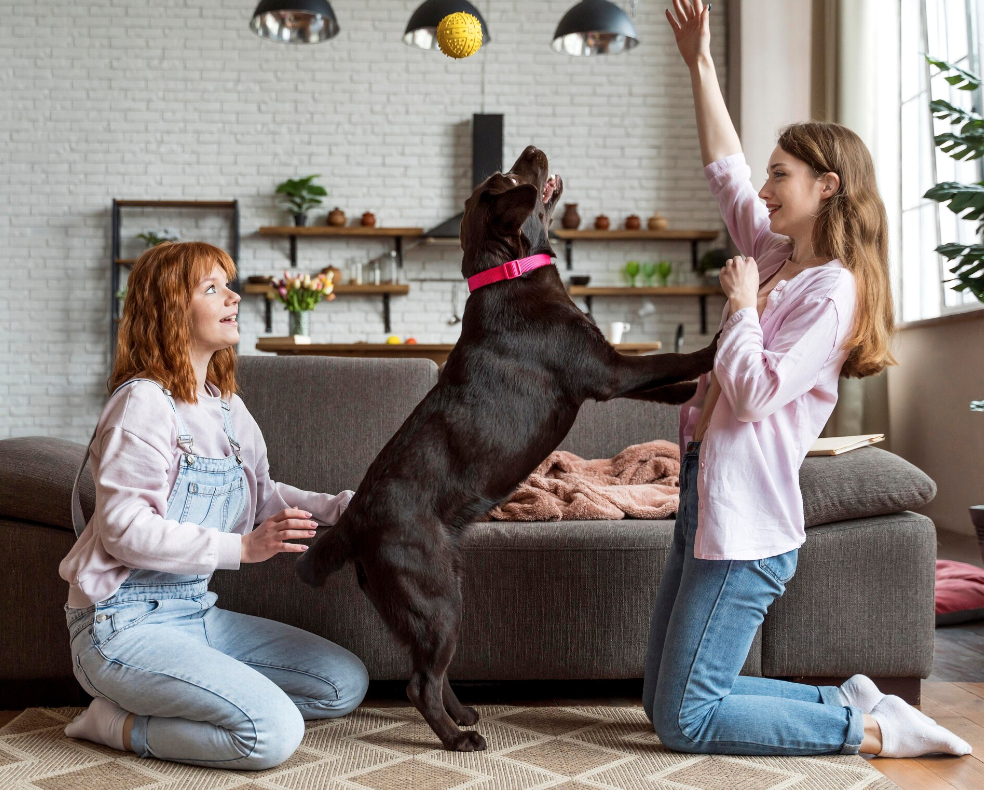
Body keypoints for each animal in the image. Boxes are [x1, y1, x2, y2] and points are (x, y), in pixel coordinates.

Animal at [296, 145, 718, 751]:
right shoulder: (607, 371)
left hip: (432, 599)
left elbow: (664, 383)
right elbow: (669, 360)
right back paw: (457, 739)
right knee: (419, 683)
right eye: (514, 176)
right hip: (435, 596)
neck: (506, 271)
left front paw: (694, 389)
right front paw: (717, 345)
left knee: (428, 669)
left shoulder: (611, 371)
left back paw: (465, 714)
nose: (533, 150)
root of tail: (352, 523)